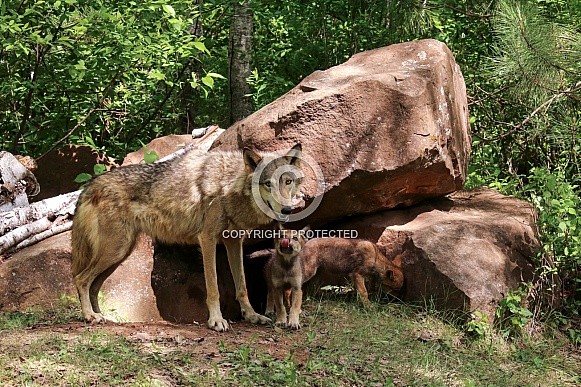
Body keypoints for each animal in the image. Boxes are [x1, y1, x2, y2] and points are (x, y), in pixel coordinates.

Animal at [72, 144, 304, 332]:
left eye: (287, 181)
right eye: (268, 184)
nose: (286, 209)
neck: (227, 185)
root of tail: (90, 184)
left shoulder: (233, 242)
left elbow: (242, 286)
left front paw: (252, 316)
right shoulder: (208, 239)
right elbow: (213, 287)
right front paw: (216, 321)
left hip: (119, 254)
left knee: (94, 286)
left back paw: (102, 316)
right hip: (115, 251)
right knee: (81, 279)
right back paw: (89, 316)